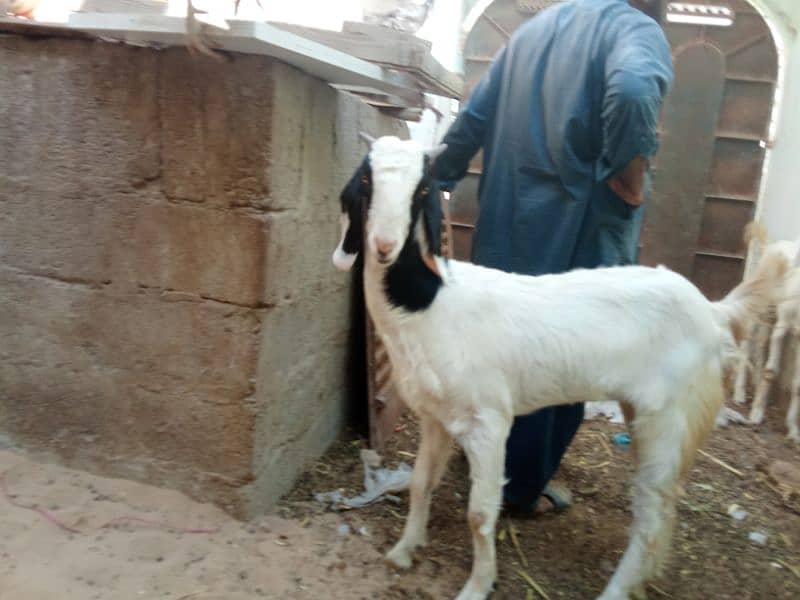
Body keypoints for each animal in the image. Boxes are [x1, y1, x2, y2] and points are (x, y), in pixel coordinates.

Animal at [330, 136, 788, 600]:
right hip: (645, 413)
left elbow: (480, 513)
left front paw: (478, 585)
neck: (431, 303)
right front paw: (404, 550)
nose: (384, 246)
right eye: (366, 180)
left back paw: (616, 590)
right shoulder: (436, 416)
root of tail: (714, 312)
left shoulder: (489, 420)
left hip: (672, 418)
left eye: (422, 189)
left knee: (653, 514)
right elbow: (421, 483)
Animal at [736, 225, 800, 440]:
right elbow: (771, 371)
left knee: (761, 345)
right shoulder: (784, 323)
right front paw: (756, 415)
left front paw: (794, 431)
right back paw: (739, 395)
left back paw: (755, 384)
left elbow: (798, 384)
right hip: (761, 307)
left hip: (769, 316)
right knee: (748, 344)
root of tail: (772, 246)